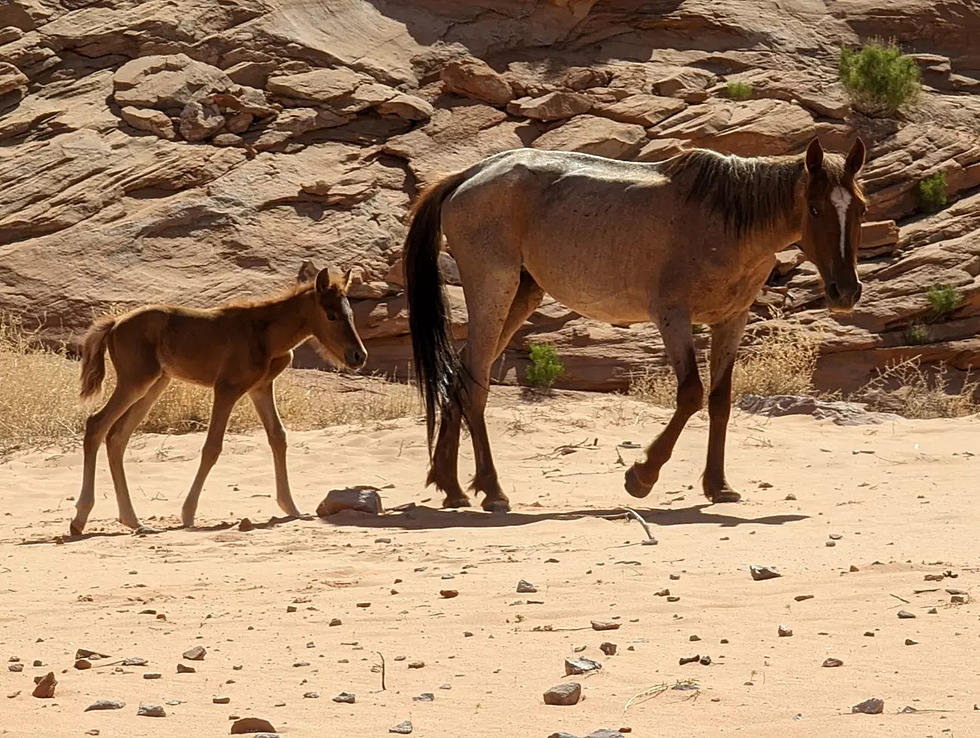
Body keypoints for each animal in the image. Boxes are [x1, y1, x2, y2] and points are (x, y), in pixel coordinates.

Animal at [68, 262, 368, 532]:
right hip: (134, 382)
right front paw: (188, 514)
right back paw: (80, 519)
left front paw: (291, 507)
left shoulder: (260, 388)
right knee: (96, 424)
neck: (264, 335)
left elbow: (278, 437)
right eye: (331, 315)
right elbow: (212, 446)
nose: (358, 356)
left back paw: (133, 521)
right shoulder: (226, 389)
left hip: (155, 385)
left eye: (351, 313)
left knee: (117, 436)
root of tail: (115, 323)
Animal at [404, 135, 864, 508]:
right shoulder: (672, 317)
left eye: (860, 208)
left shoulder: (731, 320)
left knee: (460, 374)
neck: (728, 222)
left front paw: (718, 486)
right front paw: (641, 476)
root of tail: (468, 175)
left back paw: (451, 487)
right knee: (475, 382)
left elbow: (720, 401)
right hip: (493, 290)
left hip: (520, 296)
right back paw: (492, 489)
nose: (845, 292)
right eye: (816, 208)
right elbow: (691, 394)